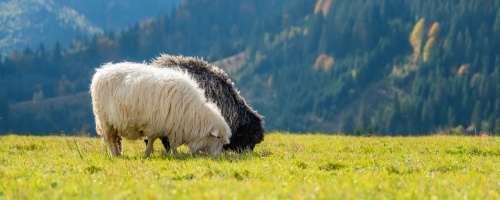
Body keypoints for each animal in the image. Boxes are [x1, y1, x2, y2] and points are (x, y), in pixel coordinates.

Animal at [90, 61, 230, 159]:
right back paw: (115, 155)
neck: (193, 114)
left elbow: (172, 143)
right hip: (105, 120)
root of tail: (100, 72)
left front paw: (175, 154)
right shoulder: (156, 124)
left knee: (116, 140)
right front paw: (146, 155)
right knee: (111, 140)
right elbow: (153, 140)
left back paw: (119, 154)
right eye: (218, 138)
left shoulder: (173, 126)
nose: (218, 157)